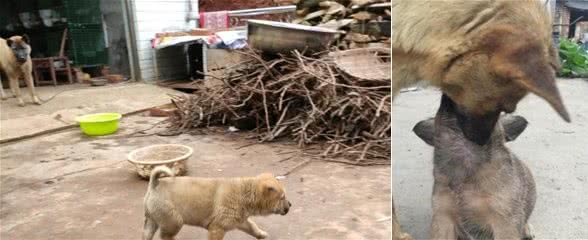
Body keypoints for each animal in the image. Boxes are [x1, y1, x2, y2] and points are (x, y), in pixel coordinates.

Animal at [142, 167, 290, 240]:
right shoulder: (217, 228)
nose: (290, 205)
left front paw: (261, 234)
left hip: (152, 220)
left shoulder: (241, 221)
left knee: (147, 235)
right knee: (166, 236)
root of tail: (155, 185)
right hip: (174, 221)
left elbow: (253, 227)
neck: (245, 193)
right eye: (282, 197)